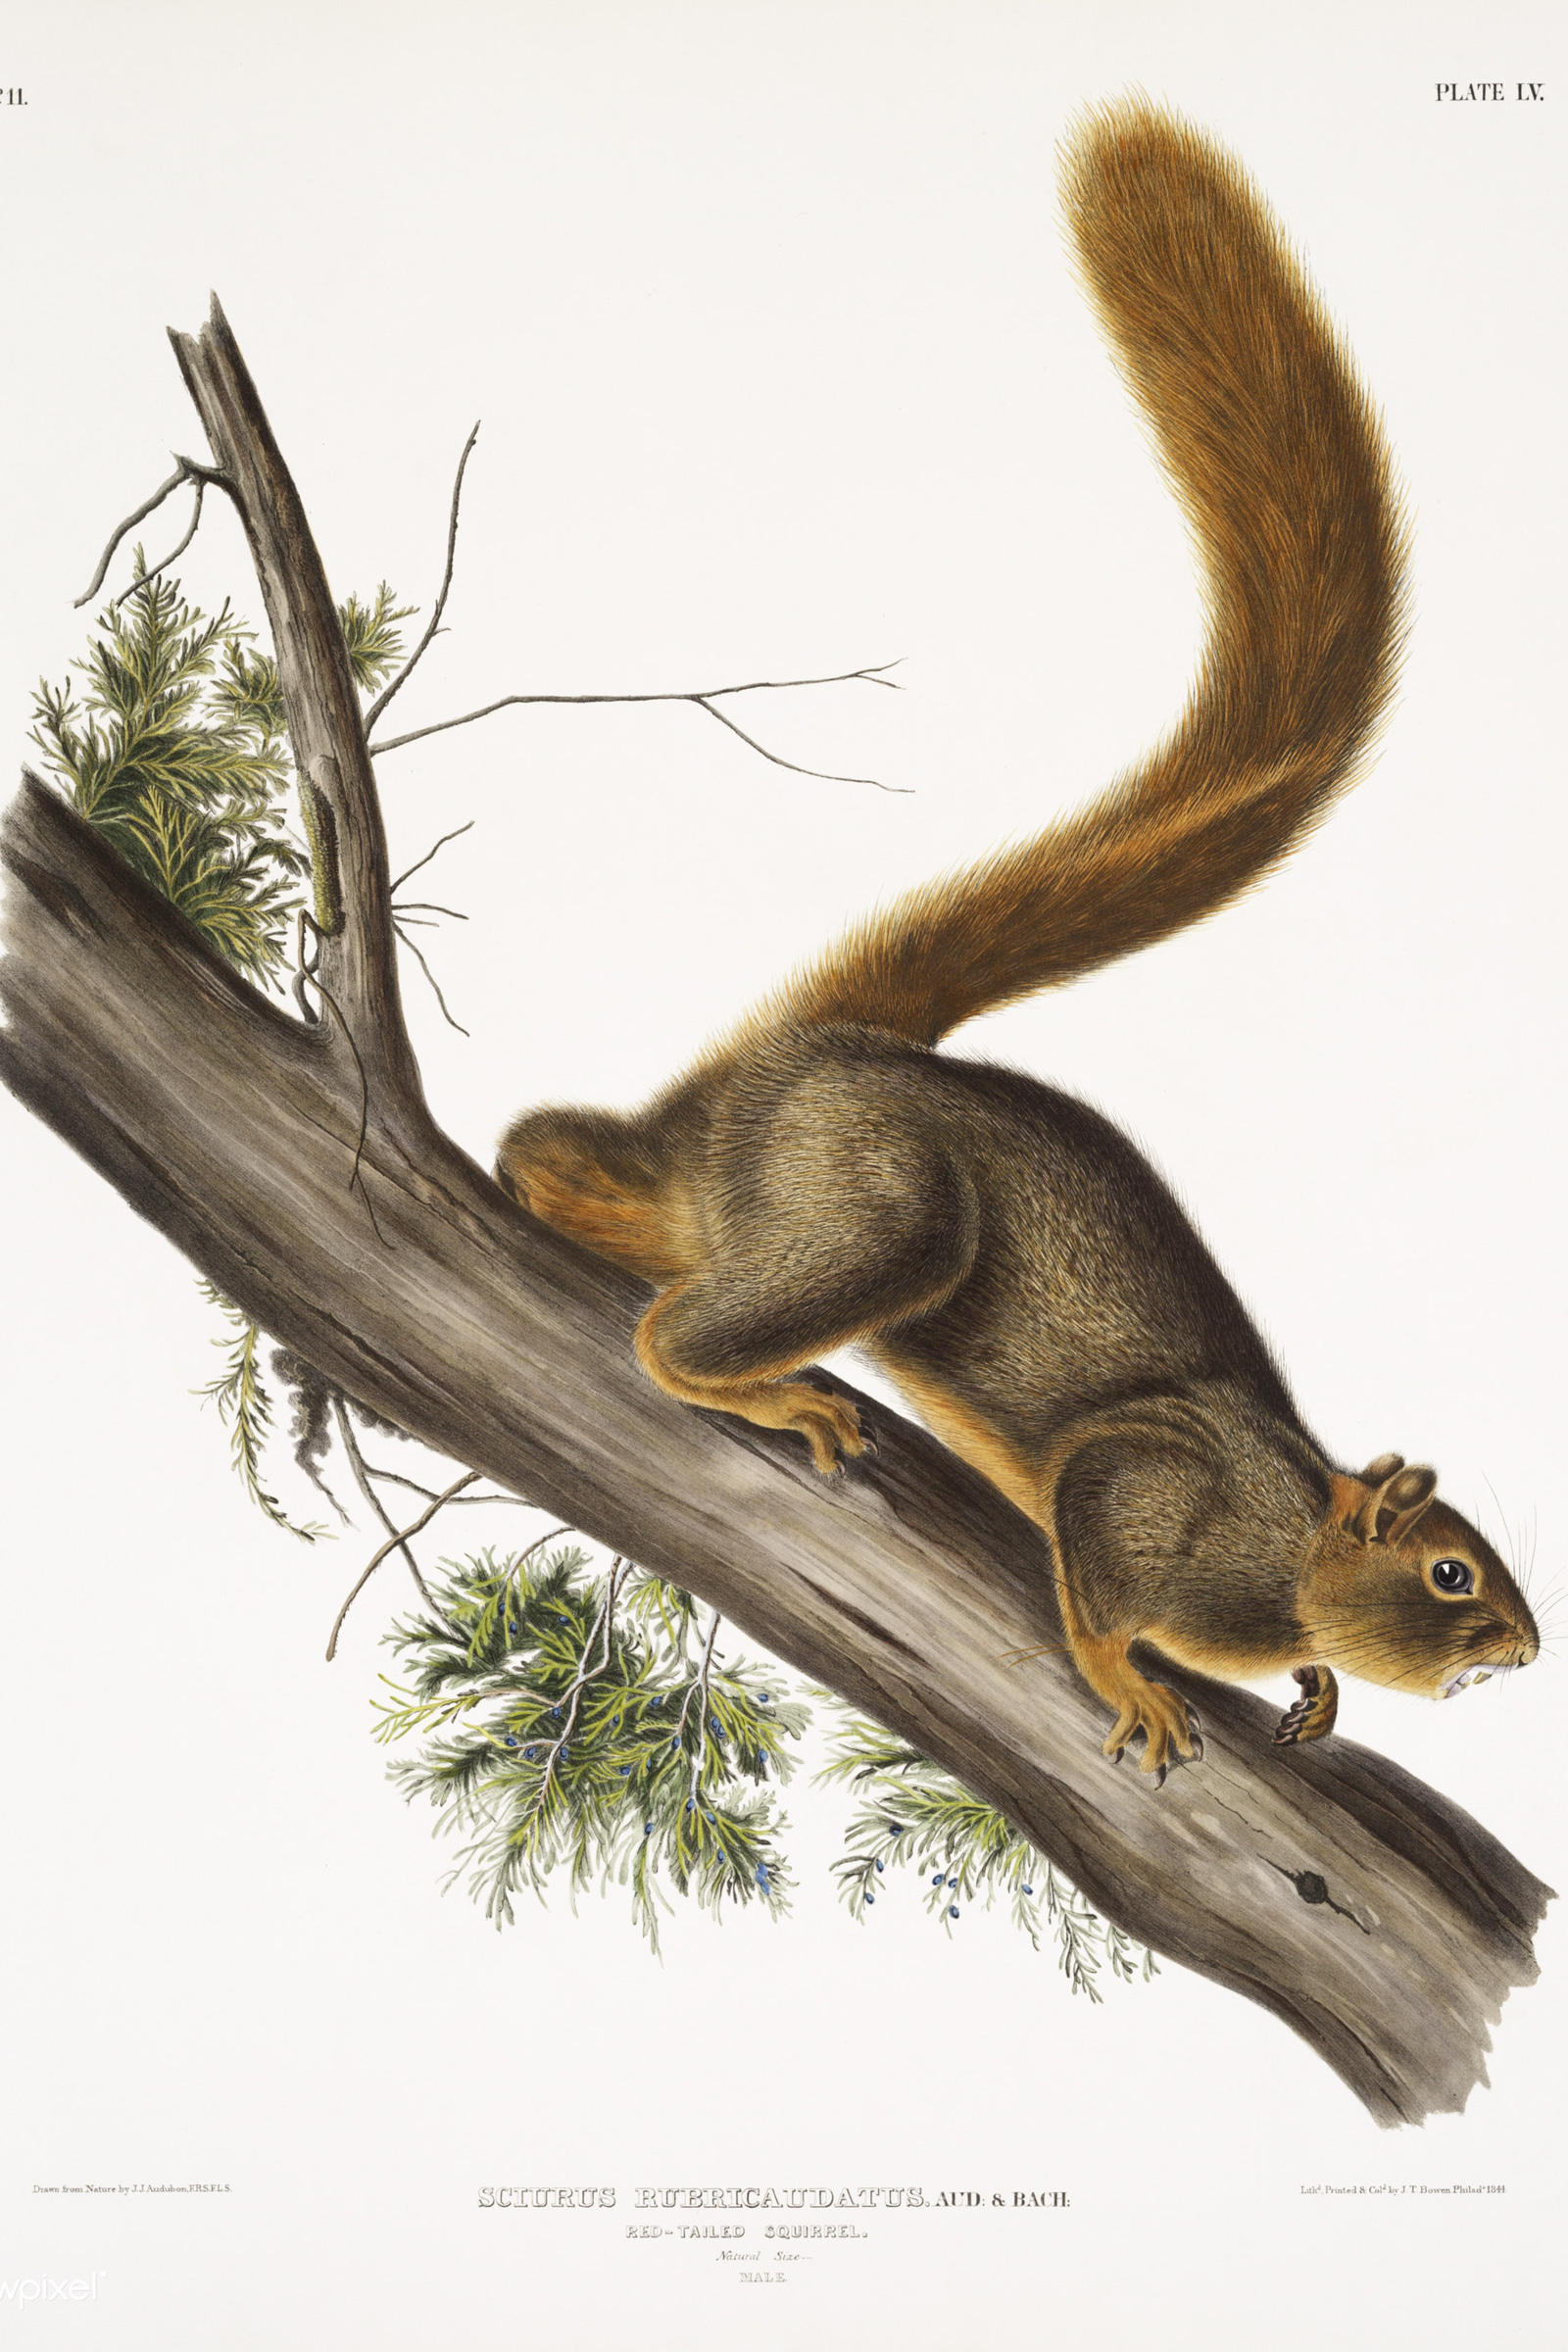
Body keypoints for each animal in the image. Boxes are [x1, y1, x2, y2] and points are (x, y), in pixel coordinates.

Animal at [497, 99, 1540, 1781]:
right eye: (1451, 1572)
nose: (1525, 1645)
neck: (1290, 1534)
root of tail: (812, 1056)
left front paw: (1312, 1688)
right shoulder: (1139, 1488)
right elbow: (1101, 1566)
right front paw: (1135, 1677)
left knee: (578, 1168)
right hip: (877, 1213)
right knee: (667, 1320)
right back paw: (767, 1391)